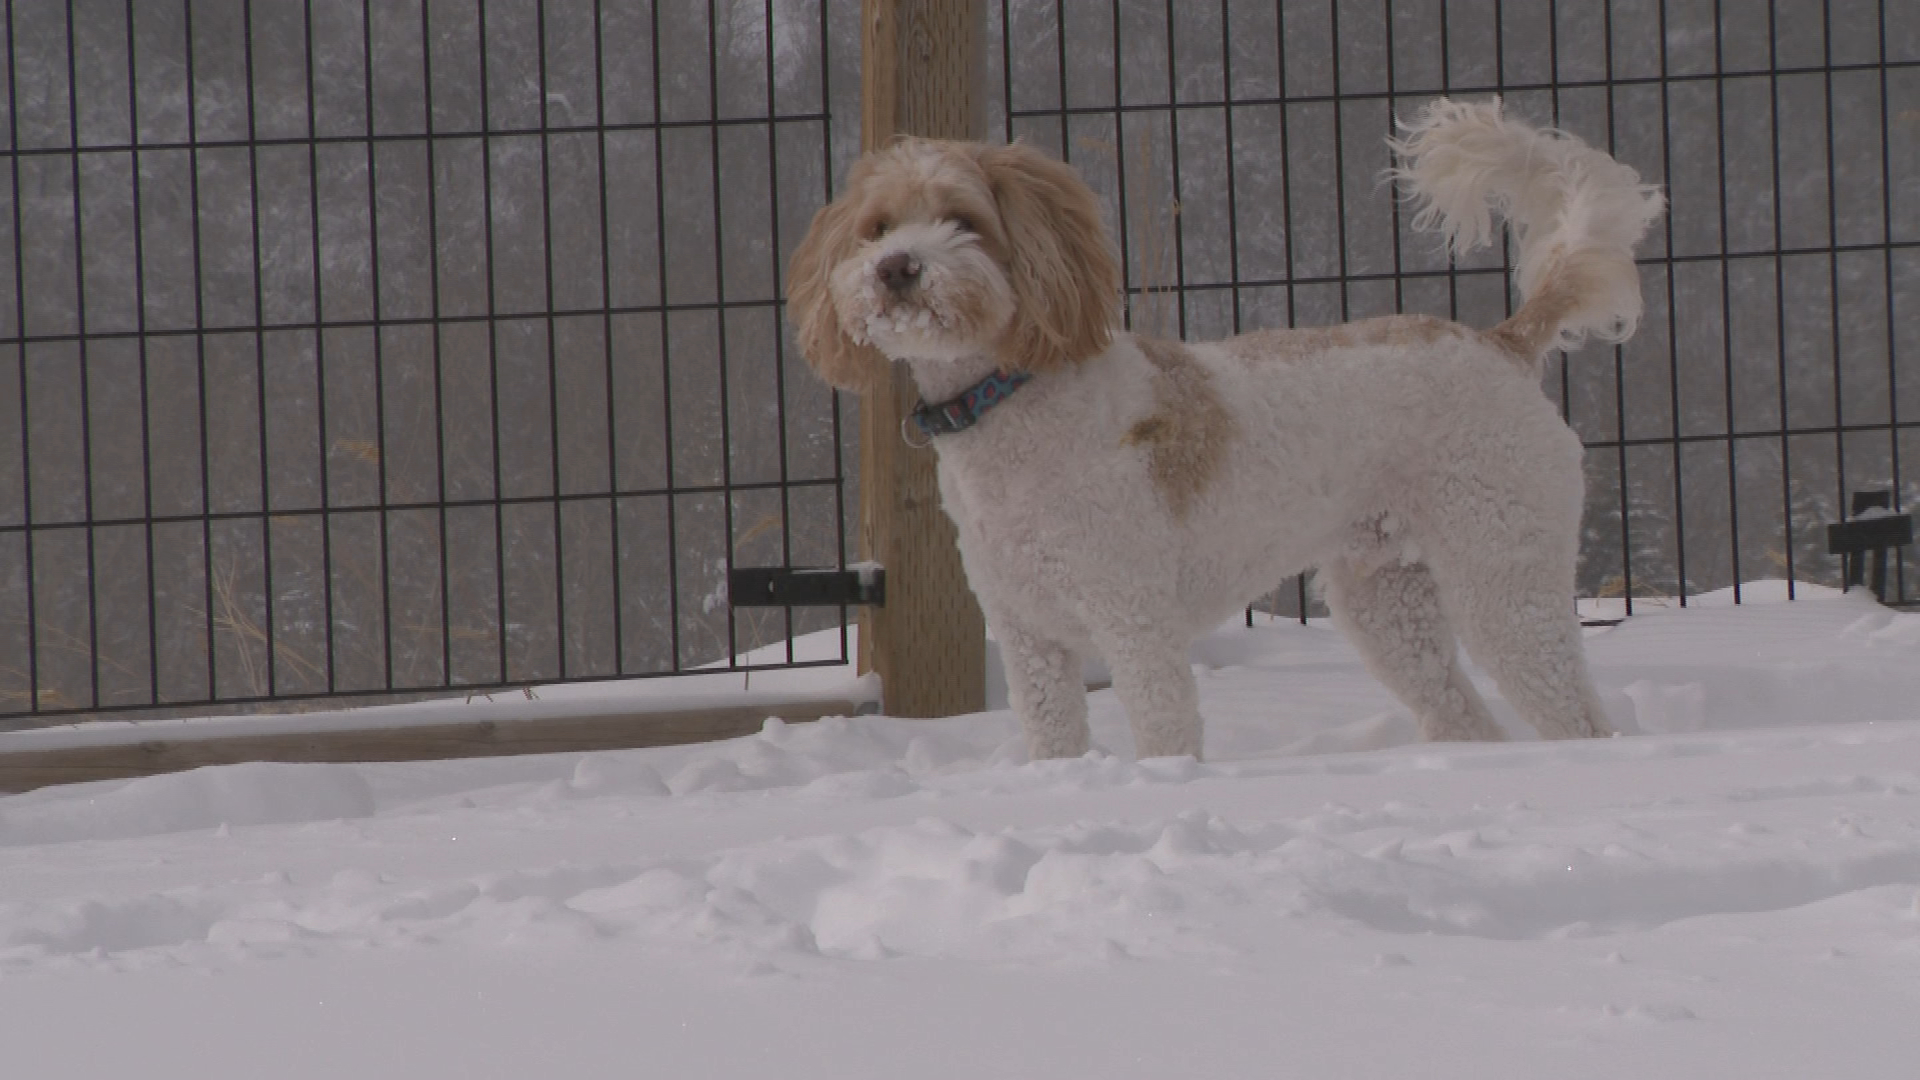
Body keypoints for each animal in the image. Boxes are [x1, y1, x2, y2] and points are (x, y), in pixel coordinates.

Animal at [791, 98, 1666, 757]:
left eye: (964, 220)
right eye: (876, 226)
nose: (896, 268)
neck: (1016, 399)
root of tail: (1500, 342)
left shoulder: (1135, 621)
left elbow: (1164, 730)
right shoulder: (1031, 637)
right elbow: (1054, 741)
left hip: (1504, 573)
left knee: (1575, 717)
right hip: (1390, 602)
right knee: (1464, 716)